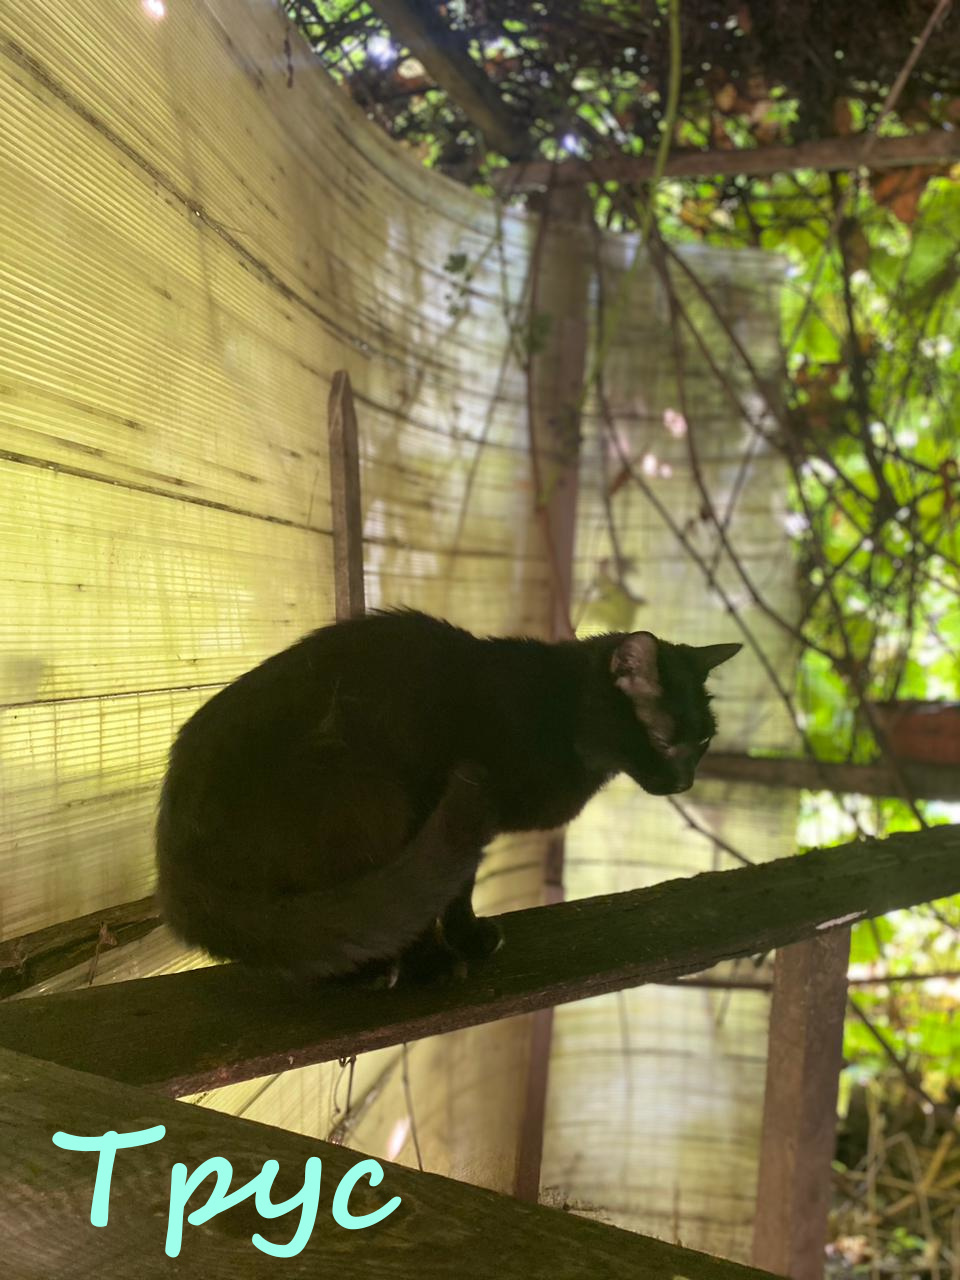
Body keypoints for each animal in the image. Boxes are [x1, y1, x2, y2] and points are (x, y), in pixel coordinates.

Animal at [156, 606, 742, 977]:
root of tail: (173, 865)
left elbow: (457, 887)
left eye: (704, 741)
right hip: (364, 789)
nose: (686, 781)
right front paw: (439, 957)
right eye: (664, 741)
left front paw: (466, 940)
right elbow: (446, 890)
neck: (561, 712)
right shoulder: (443, 802)